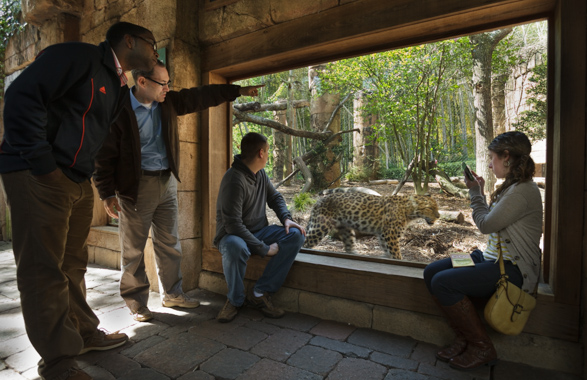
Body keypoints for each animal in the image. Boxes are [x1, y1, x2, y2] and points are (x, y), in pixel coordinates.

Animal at [304, 193, 440, 258]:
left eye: (437, 207)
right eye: (430, 208)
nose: (439, 216)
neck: (408, 211)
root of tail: (317, 202)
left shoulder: (383, 235)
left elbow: (388, 251)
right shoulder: (390, 235)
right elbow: (396, 253)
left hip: (346, 229)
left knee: (348, 245)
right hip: (320, 227)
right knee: (306, 242)